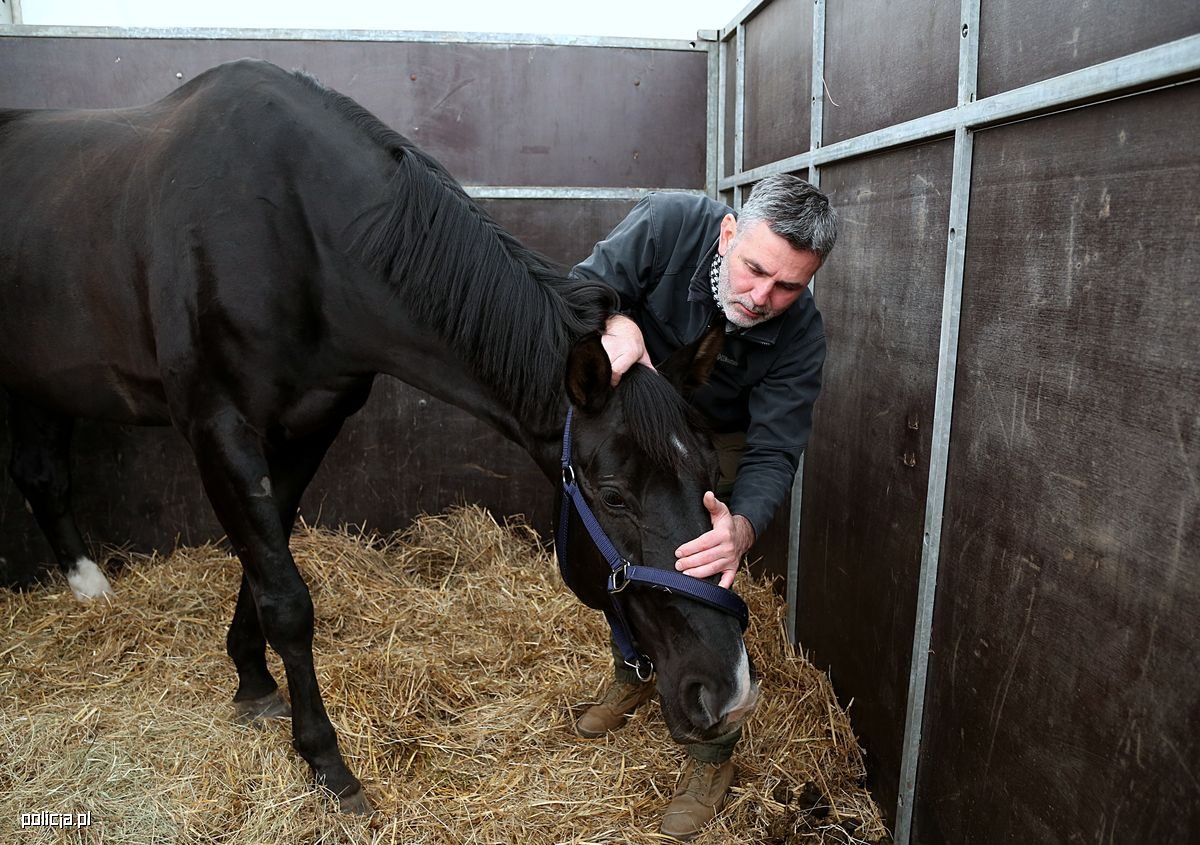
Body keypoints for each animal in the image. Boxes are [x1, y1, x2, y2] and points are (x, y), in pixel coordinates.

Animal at [0, 58, 758, 812]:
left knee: (43, 475)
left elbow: (262, 565)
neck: (293, 230)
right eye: (613, 494)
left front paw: (253, 681)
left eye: (710, 477)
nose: (726, 691)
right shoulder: (218, 428)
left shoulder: (308, 427)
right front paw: (325, 761)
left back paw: (91, 594)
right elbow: (285, 595)